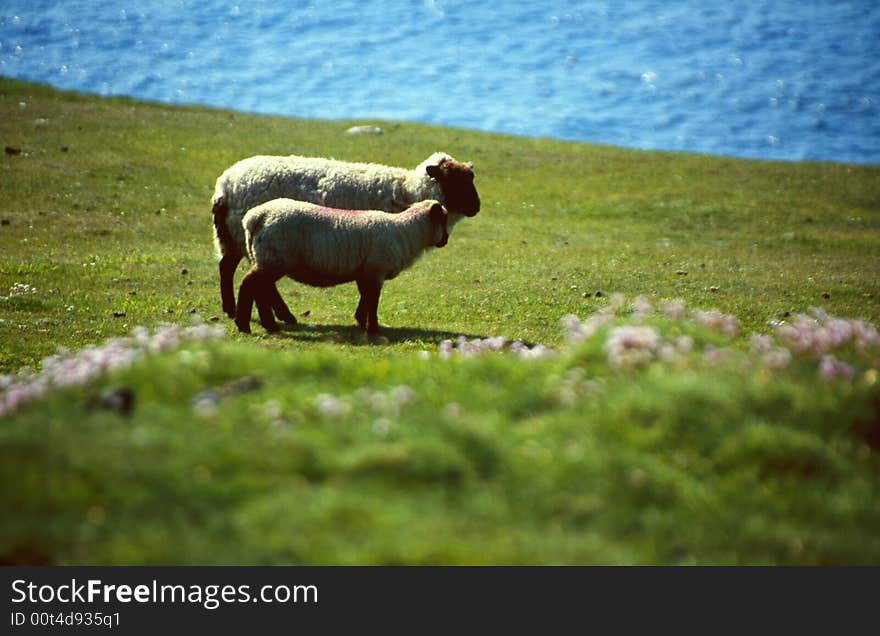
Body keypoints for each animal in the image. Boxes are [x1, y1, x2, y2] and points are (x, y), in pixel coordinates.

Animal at [212, 152, 478, 320]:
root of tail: (225, 185)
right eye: (453, 180)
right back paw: (264, 314)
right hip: (251, 241)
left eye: (470, 179)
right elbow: (368, 291)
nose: (476, 207)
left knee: (232, 268)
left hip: (234, 239)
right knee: (243, 275)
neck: (407, 190)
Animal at [235, 199, 446, 336]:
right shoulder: (376, 269)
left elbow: (365, 297)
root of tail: (255, 217)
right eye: (444, 219)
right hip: (274, 259)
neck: (406, 231)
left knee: (262, 288)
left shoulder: (365, 272)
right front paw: (373, 329)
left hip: (266, 258)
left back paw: (270, 325)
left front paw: (361, 321)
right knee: (249, 284)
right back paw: (245, 325)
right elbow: (373, 300)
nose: (445, 241)